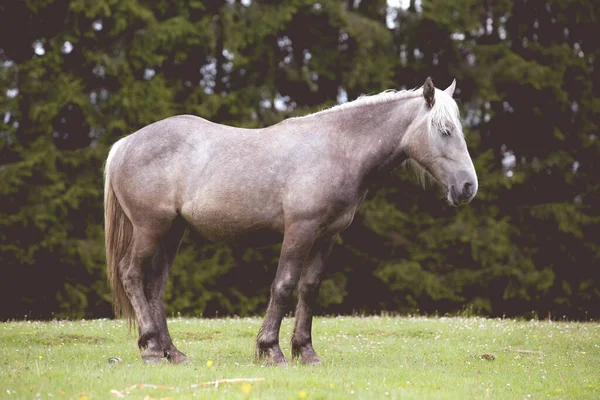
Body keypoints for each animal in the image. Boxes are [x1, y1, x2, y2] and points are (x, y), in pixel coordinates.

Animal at [103, 76, 478, 366]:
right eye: (445, 130)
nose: (468, 186)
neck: (335, 149)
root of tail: (125, 144)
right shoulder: (300, 230)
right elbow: (283, 286)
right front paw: (271, 351)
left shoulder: (326, 236)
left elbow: (309, 289)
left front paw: (305, 352)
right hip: (150, 228)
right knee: (132, 274)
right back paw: (151, 348)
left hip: (172, 232)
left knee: (155, 285)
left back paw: (173, 352)